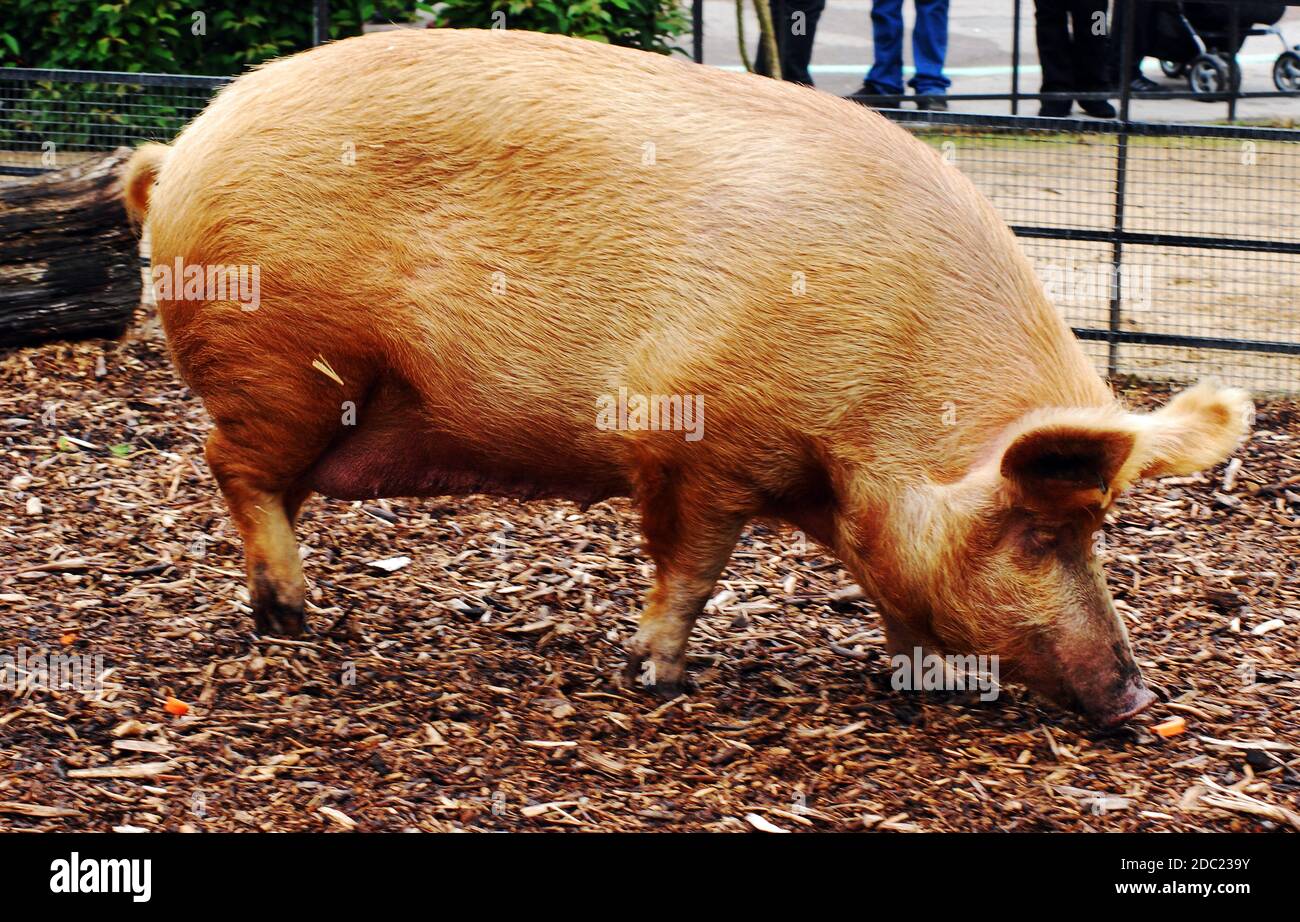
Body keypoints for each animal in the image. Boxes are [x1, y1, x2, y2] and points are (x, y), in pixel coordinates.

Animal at [124, 26, 1248, 728]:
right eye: (1040, 532)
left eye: (1096, 530)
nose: (1141, 698)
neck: (875, 417)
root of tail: (180, 147)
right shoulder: (688, 436)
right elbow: (695, 567)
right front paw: (655, 675)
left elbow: (887, 581)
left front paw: (921, 679)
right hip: (283, 364)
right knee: (229, 463)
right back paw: (291, 616)